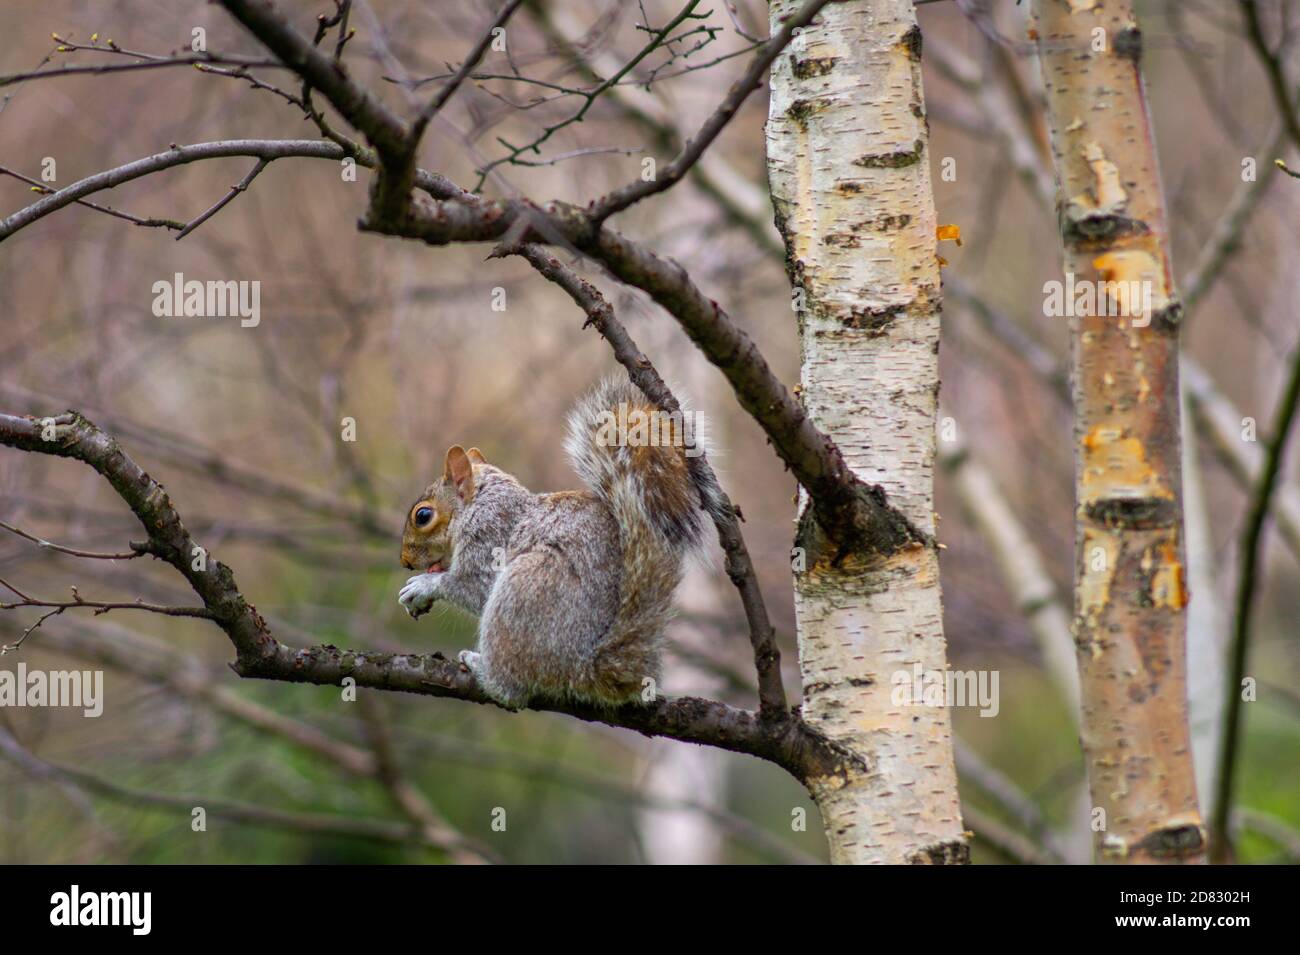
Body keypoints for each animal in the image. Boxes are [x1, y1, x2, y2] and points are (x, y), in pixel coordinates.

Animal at [398, 378, 723, 709]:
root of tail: (584, 667)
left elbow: (475, 588)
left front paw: (424, 585)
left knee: (511, 690)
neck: (480, 503)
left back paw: (485, 672)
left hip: (527, 586)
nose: (405, 561)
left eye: (423, 515)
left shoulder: (490, 536)